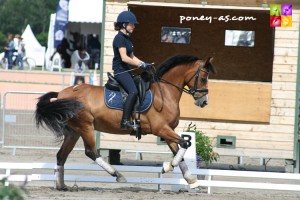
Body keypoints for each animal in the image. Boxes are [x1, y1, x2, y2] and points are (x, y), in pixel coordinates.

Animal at [34, 54, 216, 191]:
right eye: (203, 78)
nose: (204, 102)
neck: (164, 92)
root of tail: (61, 93)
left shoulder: (167, 130)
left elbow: (180, 150)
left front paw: (190, 179)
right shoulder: (161, 129)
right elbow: (185, 143)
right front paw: (168, 167)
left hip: (74, 131)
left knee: (61, 155)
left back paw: (61, 185)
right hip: (85, 126)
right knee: (91, 152)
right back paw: (118, 175)